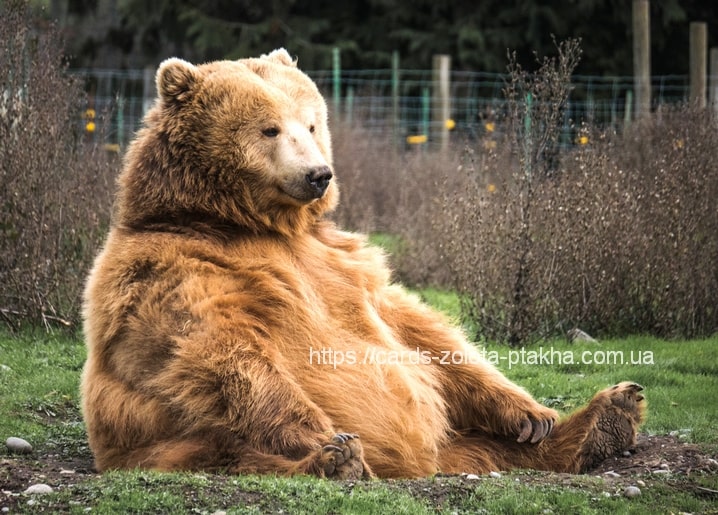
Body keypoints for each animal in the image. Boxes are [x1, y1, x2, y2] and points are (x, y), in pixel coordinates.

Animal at [80, 48, 648, 480]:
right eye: (269, 129)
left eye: (311, 123)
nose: (318, 174)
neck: (249, 223)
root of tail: (422, 464)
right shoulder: (175, 269)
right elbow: (219, 350)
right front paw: (325, 438)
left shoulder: (342, 262)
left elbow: (419, 329)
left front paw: (530, 413)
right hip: (168, 441)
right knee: (233, 452)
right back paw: (336, 460)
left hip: (457, 440)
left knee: (491, 447)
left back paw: (604, 419)